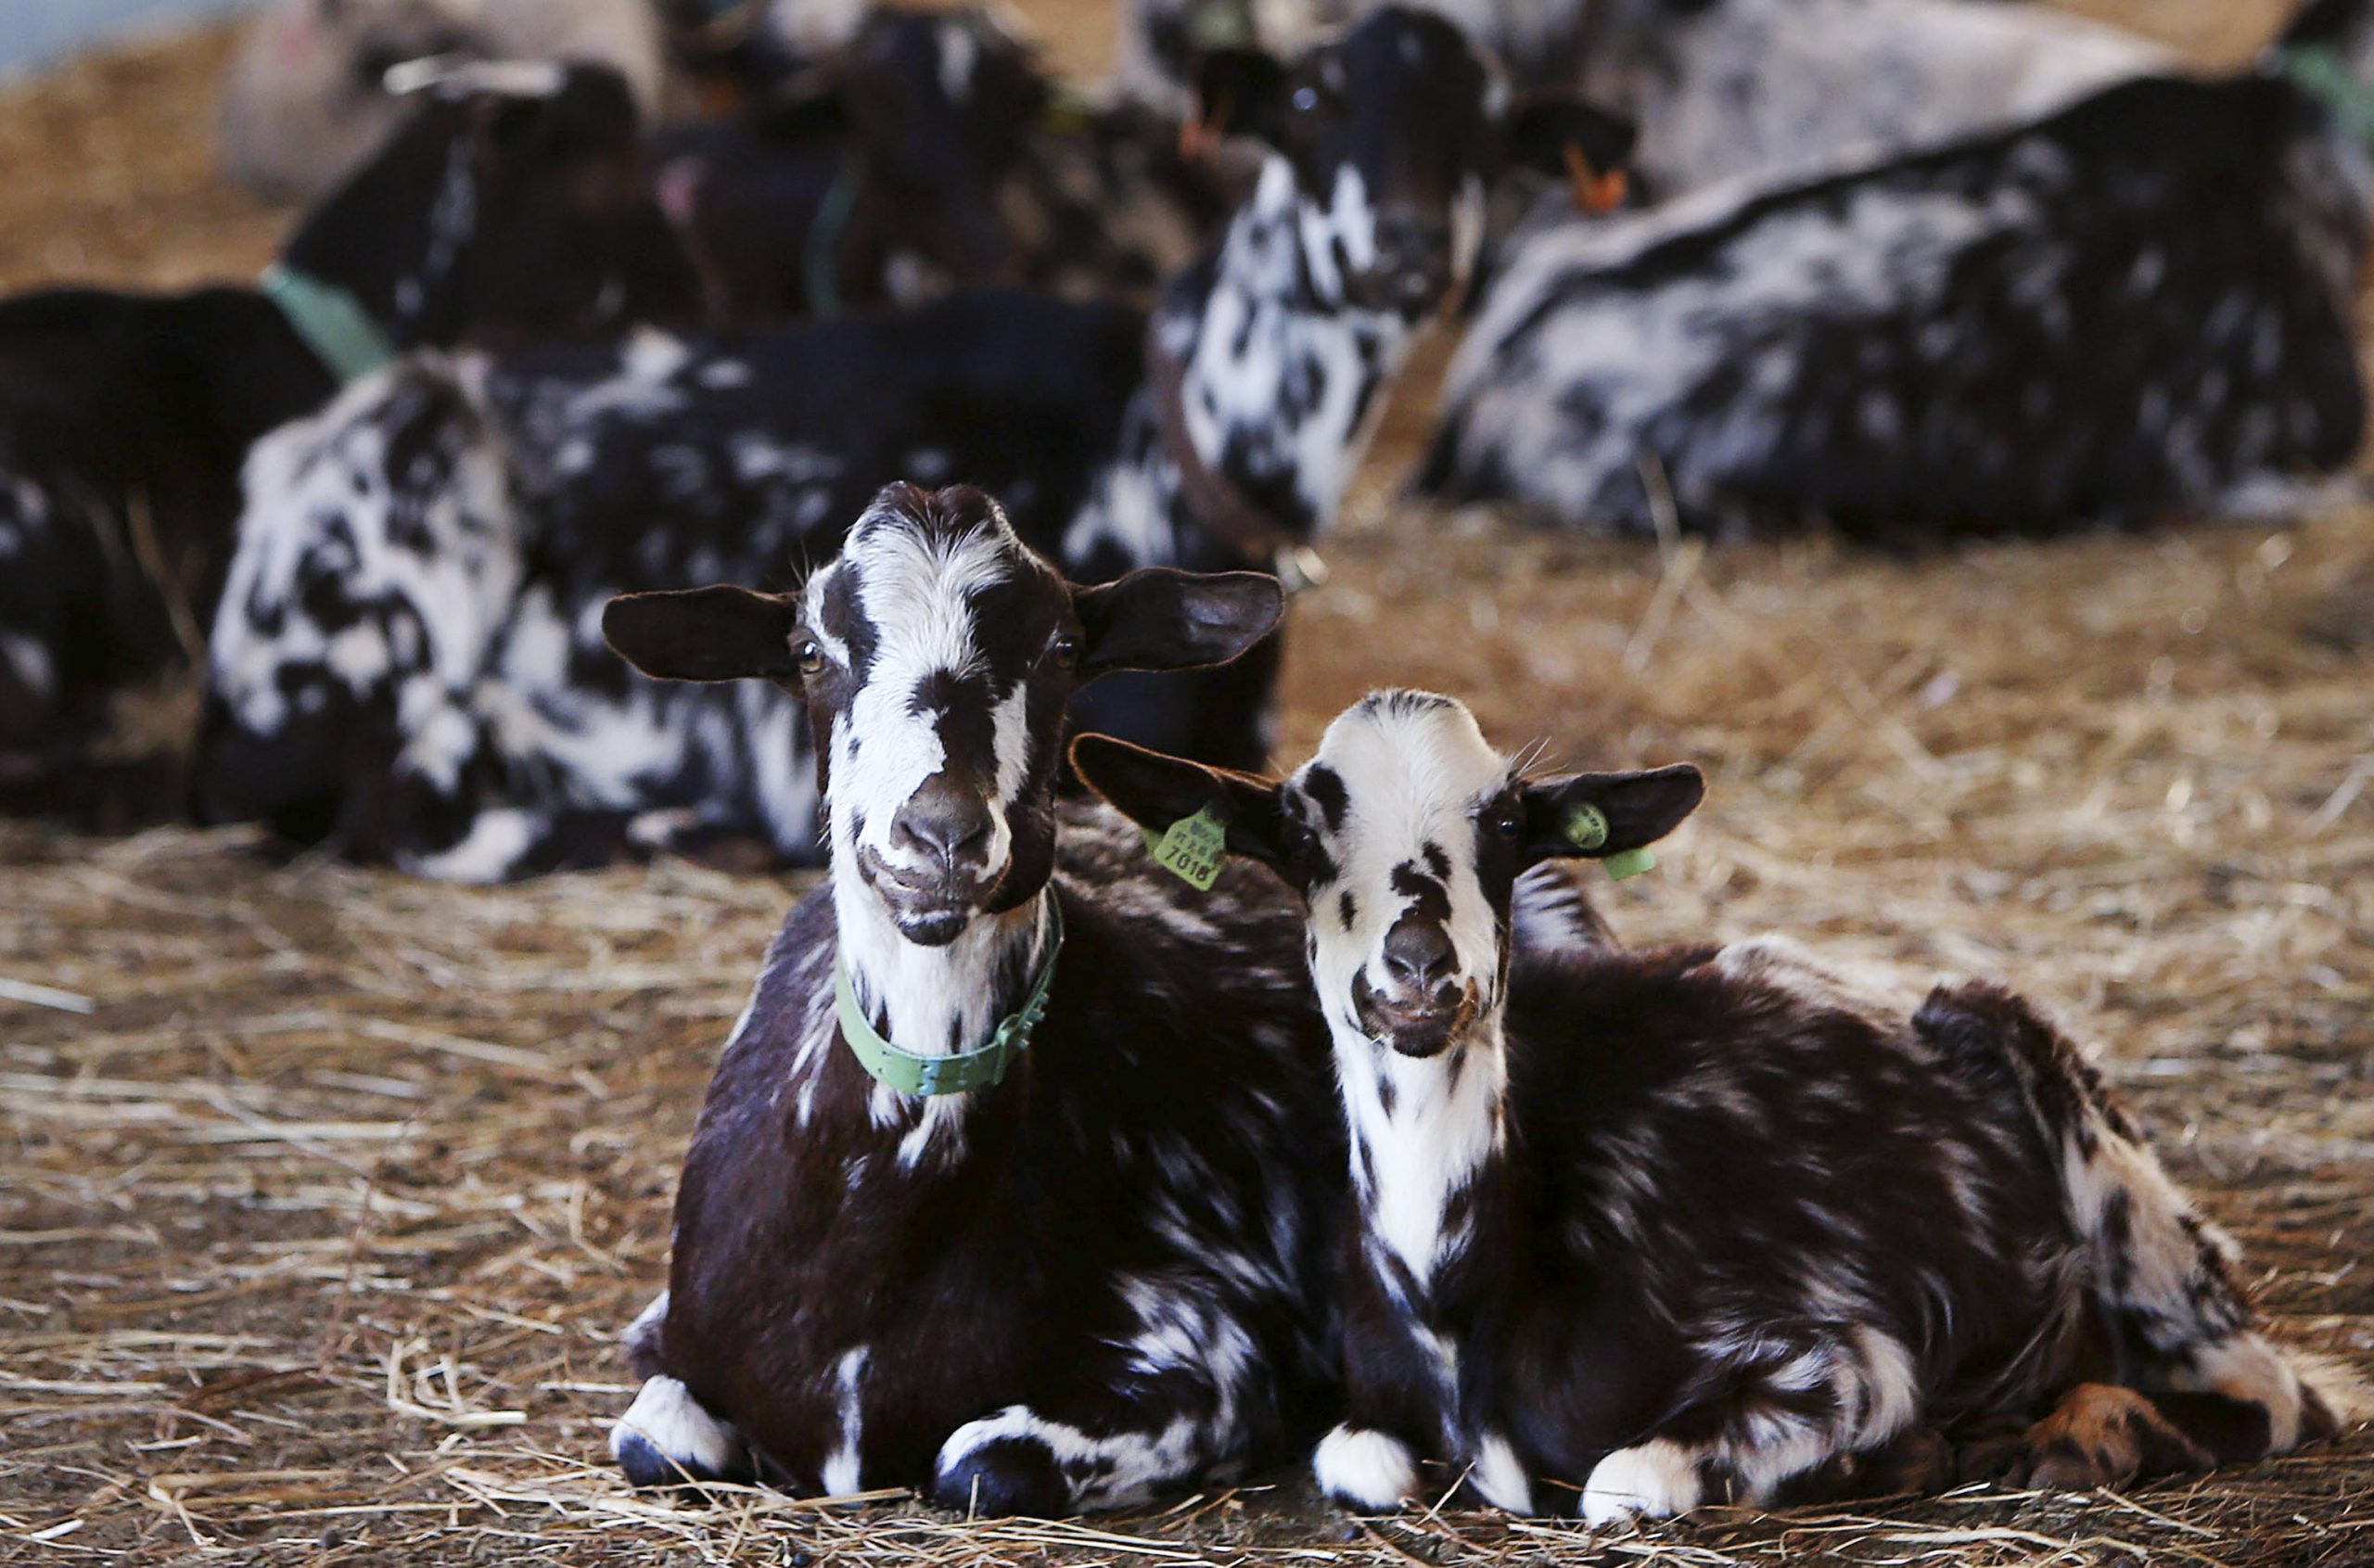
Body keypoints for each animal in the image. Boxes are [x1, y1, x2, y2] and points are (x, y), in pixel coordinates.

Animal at [596, 482, 1344, 1515]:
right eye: (809, 650)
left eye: (1063, 644)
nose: (940, 834)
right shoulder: (665, 1326)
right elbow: (656, 1440)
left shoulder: (1221, 1349)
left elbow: (982, 1461)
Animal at [1073, 691, 2343, 1522]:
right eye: (1297, 829)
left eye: (1508, 822)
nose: (1419, 973)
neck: (1468, 1292)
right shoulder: (1361, 1408)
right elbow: (1358, 1460)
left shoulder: (1844, 1358)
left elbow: (1623, 1479)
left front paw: (1907, 1457)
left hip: (2108, 1165)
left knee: (2276, 1389)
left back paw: (2086, 1434)